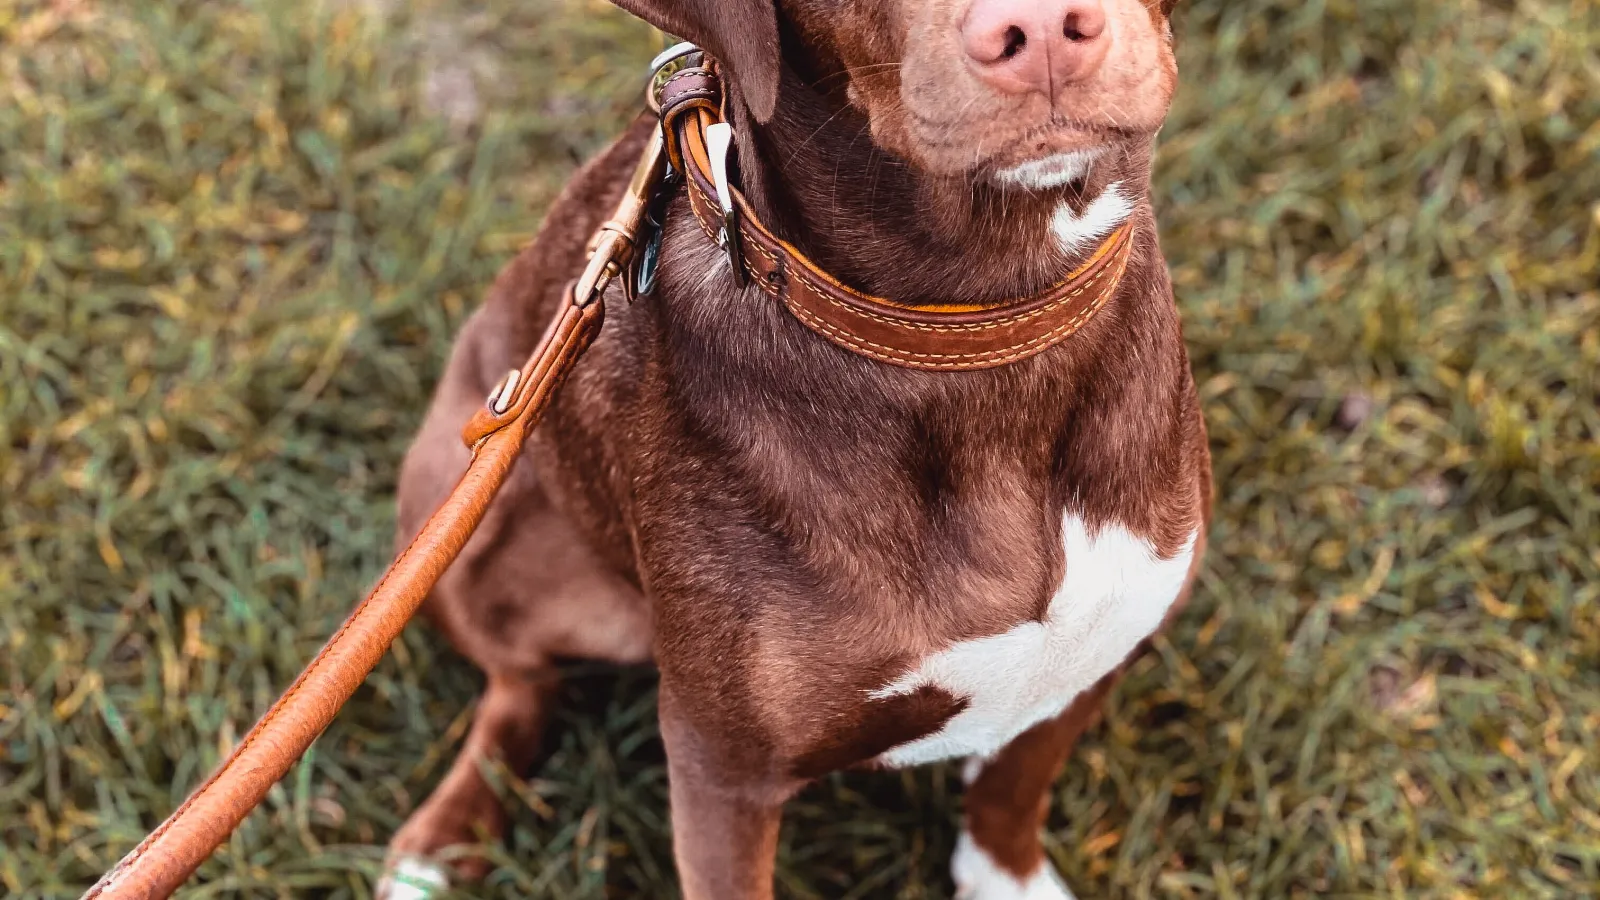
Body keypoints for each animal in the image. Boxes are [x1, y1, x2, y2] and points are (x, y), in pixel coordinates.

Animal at [380, 1, 1203, 896]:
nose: (1043, 27)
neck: (980, 331)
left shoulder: (1095, 650)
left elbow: (1012, 794)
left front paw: (1005, 876)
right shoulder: (722, 768)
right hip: (459, 522)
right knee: (518, 683)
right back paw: (438, 845)